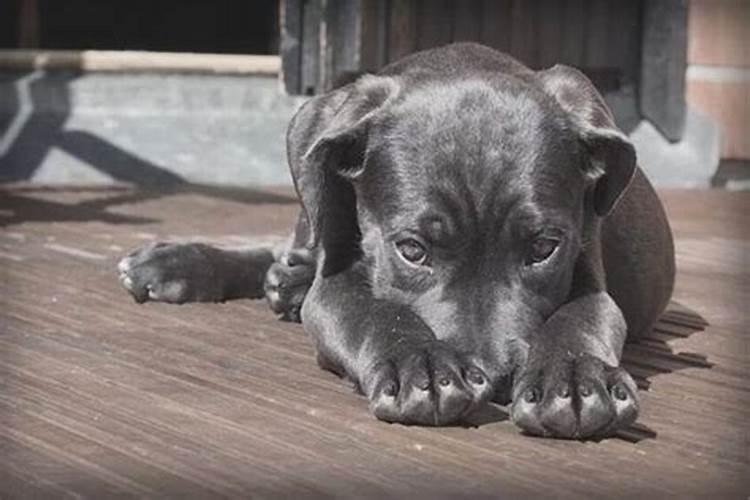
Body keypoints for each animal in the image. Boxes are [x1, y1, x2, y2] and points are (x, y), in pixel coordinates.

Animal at [117, 45, 676, 440]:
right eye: (412, 250)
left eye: (543, 249)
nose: (495, 378)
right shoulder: (337, 281)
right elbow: (373, 311)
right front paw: (421, 364)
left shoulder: (589, 271)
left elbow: (581, 318)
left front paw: (575, 379)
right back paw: (183, 264)